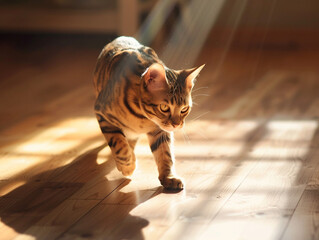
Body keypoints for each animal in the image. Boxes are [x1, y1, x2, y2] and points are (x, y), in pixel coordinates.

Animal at [94, 36, 205, 189]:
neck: (142, 117)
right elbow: (120, 145)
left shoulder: (160, 131)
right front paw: (128, 167)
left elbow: (165, 154)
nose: (176, 125)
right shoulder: (102, 114)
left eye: (184, 109)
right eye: (164, 107)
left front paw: (168, 177)